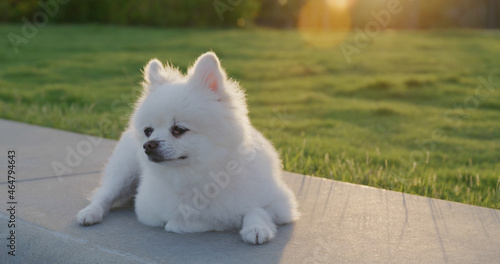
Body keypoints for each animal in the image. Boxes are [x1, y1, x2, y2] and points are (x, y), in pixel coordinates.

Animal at [76, 52, 298, 244]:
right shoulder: (149, 211)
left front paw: (256, 227)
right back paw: (90, 212)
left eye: (179, 129)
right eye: (148, 131)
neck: (201, 176)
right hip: (124, 173)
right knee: (105, 195)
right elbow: (179, 222)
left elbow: (257, 209)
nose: (148, 145)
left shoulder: (282, 204)